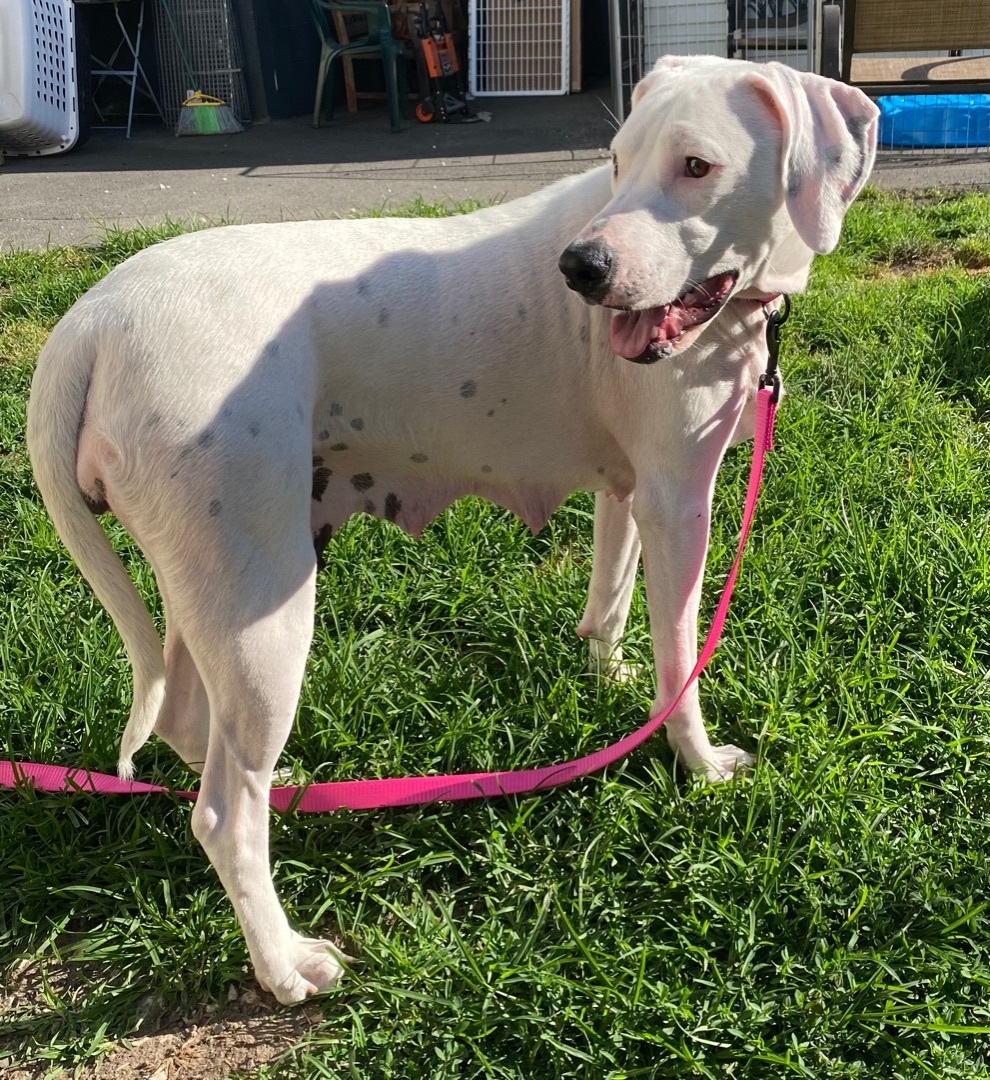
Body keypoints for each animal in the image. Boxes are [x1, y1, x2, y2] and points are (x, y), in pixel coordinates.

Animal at [25, 59, 872, 1002]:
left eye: (696, 166)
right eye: (619, 160)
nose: (580, 267)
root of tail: (88, 326)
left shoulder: (629, 493)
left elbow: (610, 602)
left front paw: (607, 678)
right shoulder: (680, 499)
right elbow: (680, 658)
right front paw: (697, 763)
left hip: (211, 584)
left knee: (191, 725)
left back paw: (284, 788)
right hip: (264, 606)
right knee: (221, 813)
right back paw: (285, 964)